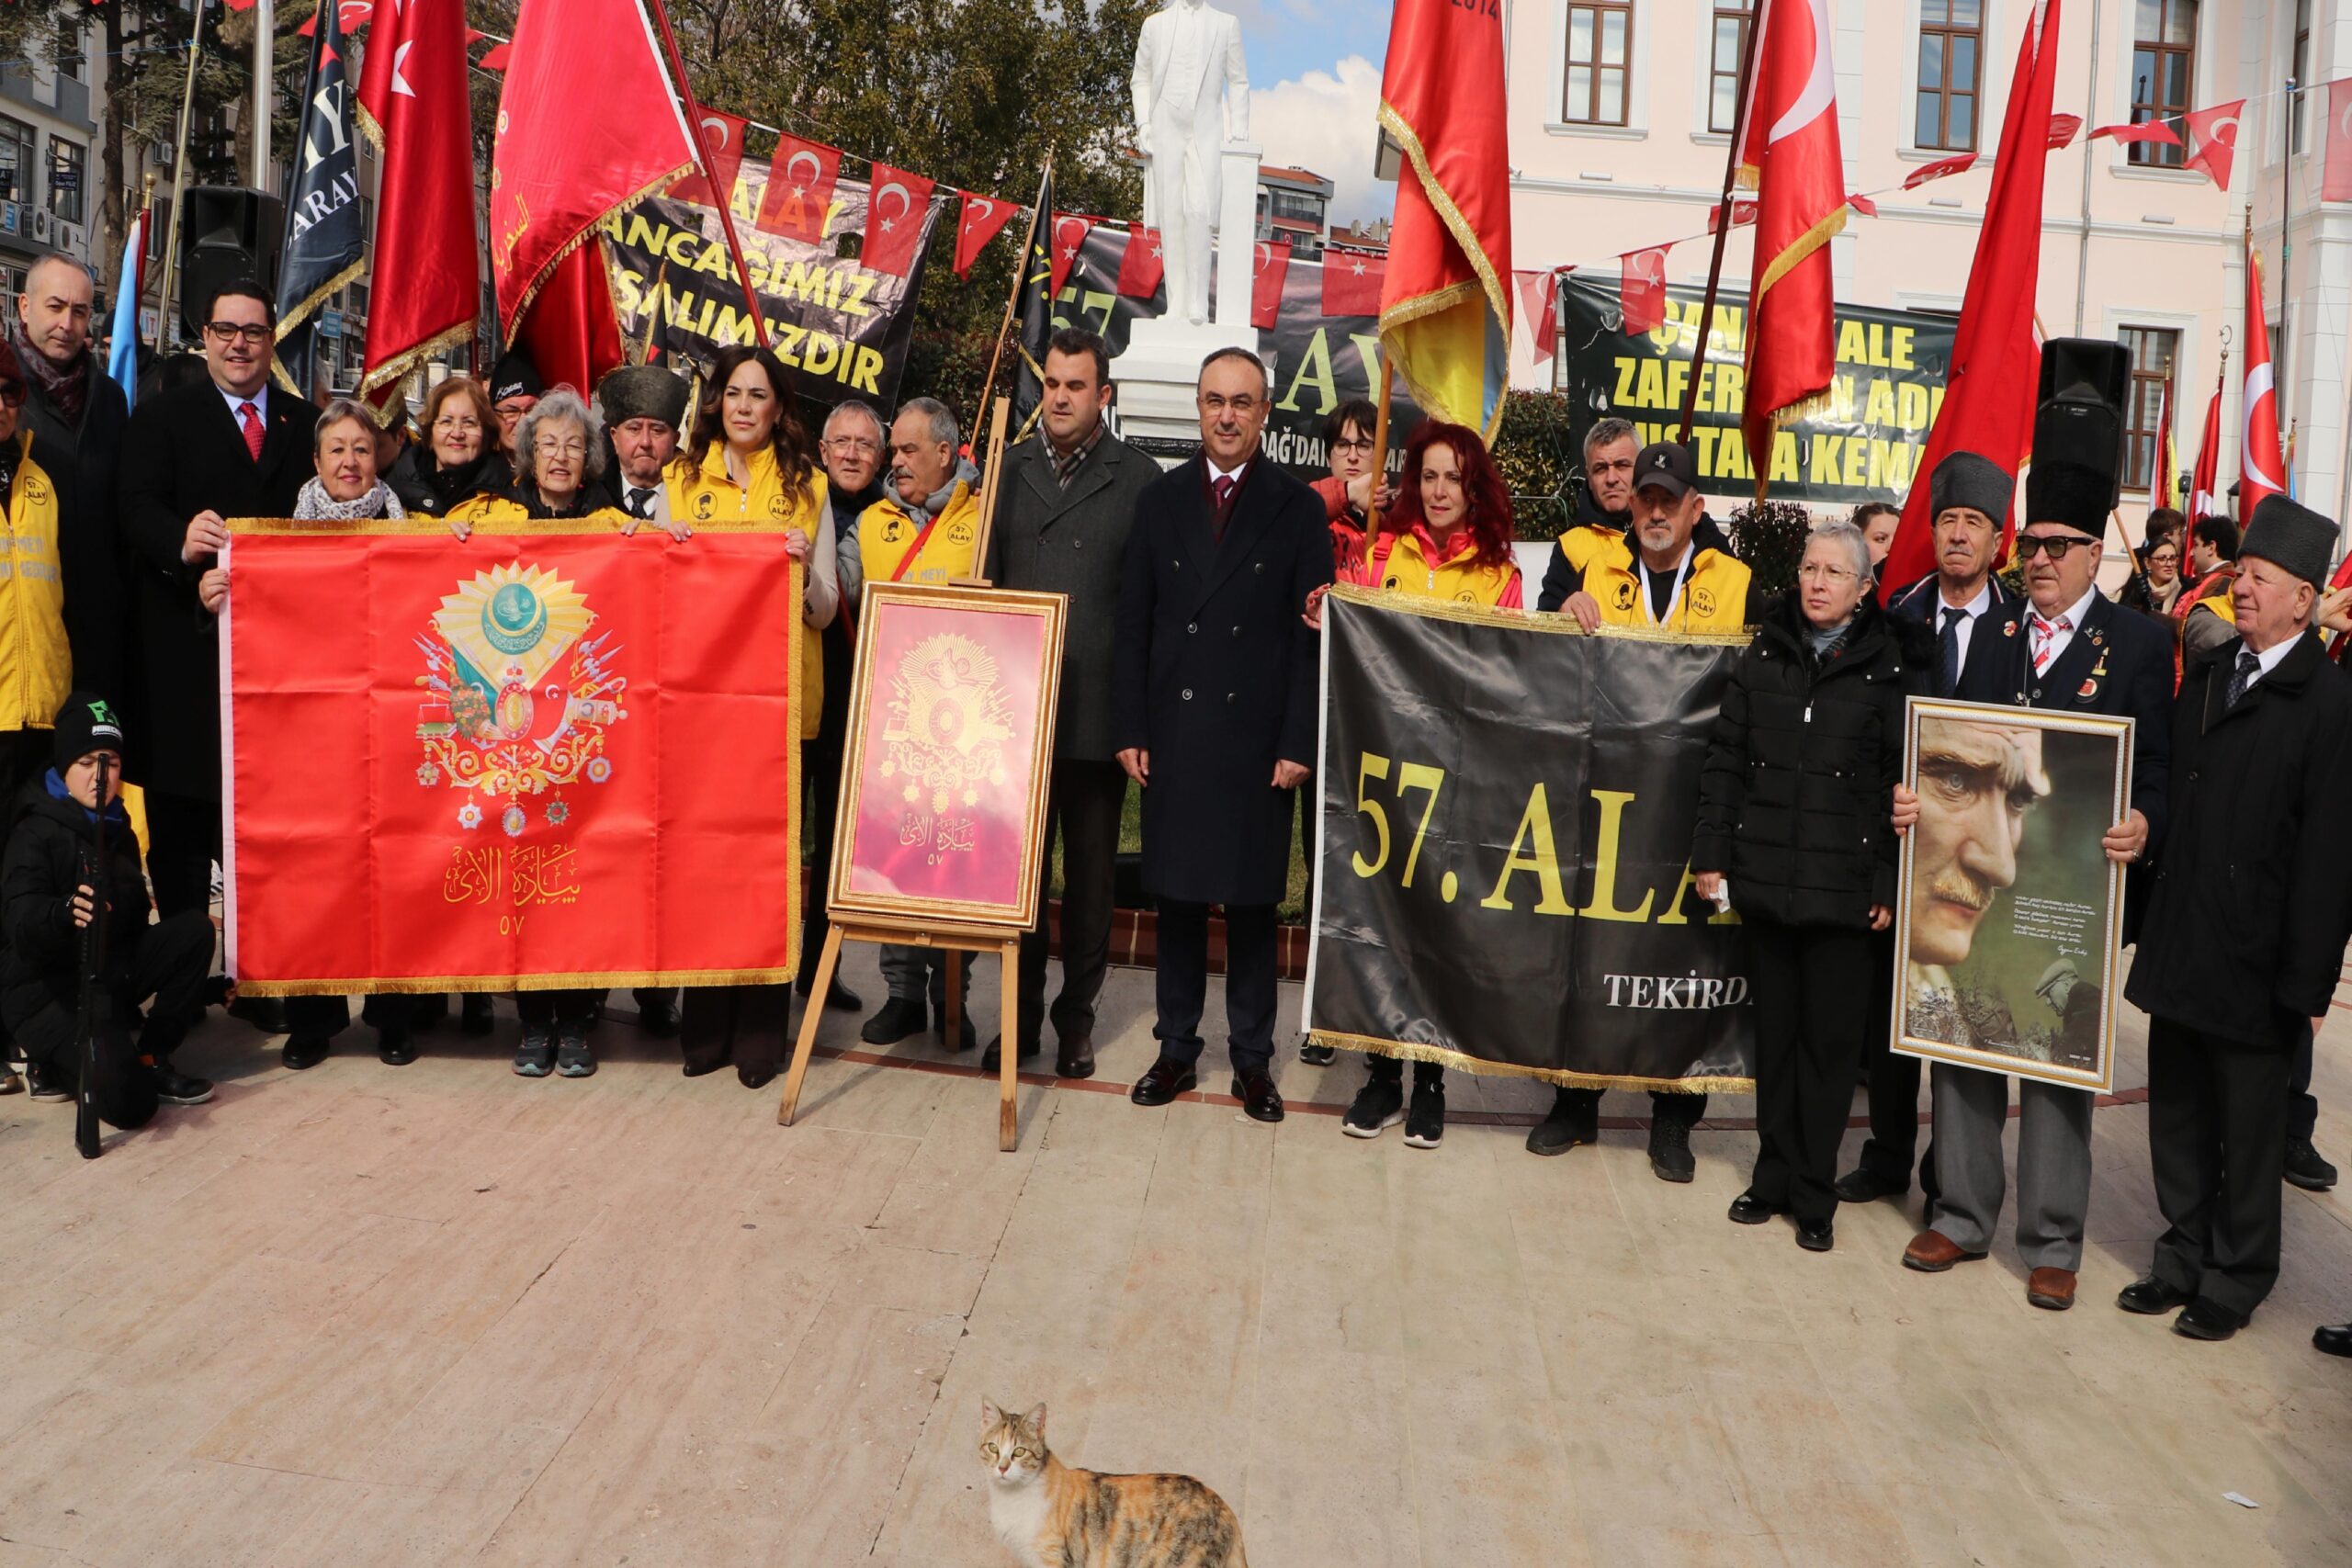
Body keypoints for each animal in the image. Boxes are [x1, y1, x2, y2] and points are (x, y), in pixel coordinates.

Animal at [978, 1401, 1250, 1568]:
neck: (1010, 1498)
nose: (1002, 1468)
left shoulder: (1052, 1559)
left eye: (1019, 1452)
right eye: (993, 1448)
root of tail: (1226, 1509)